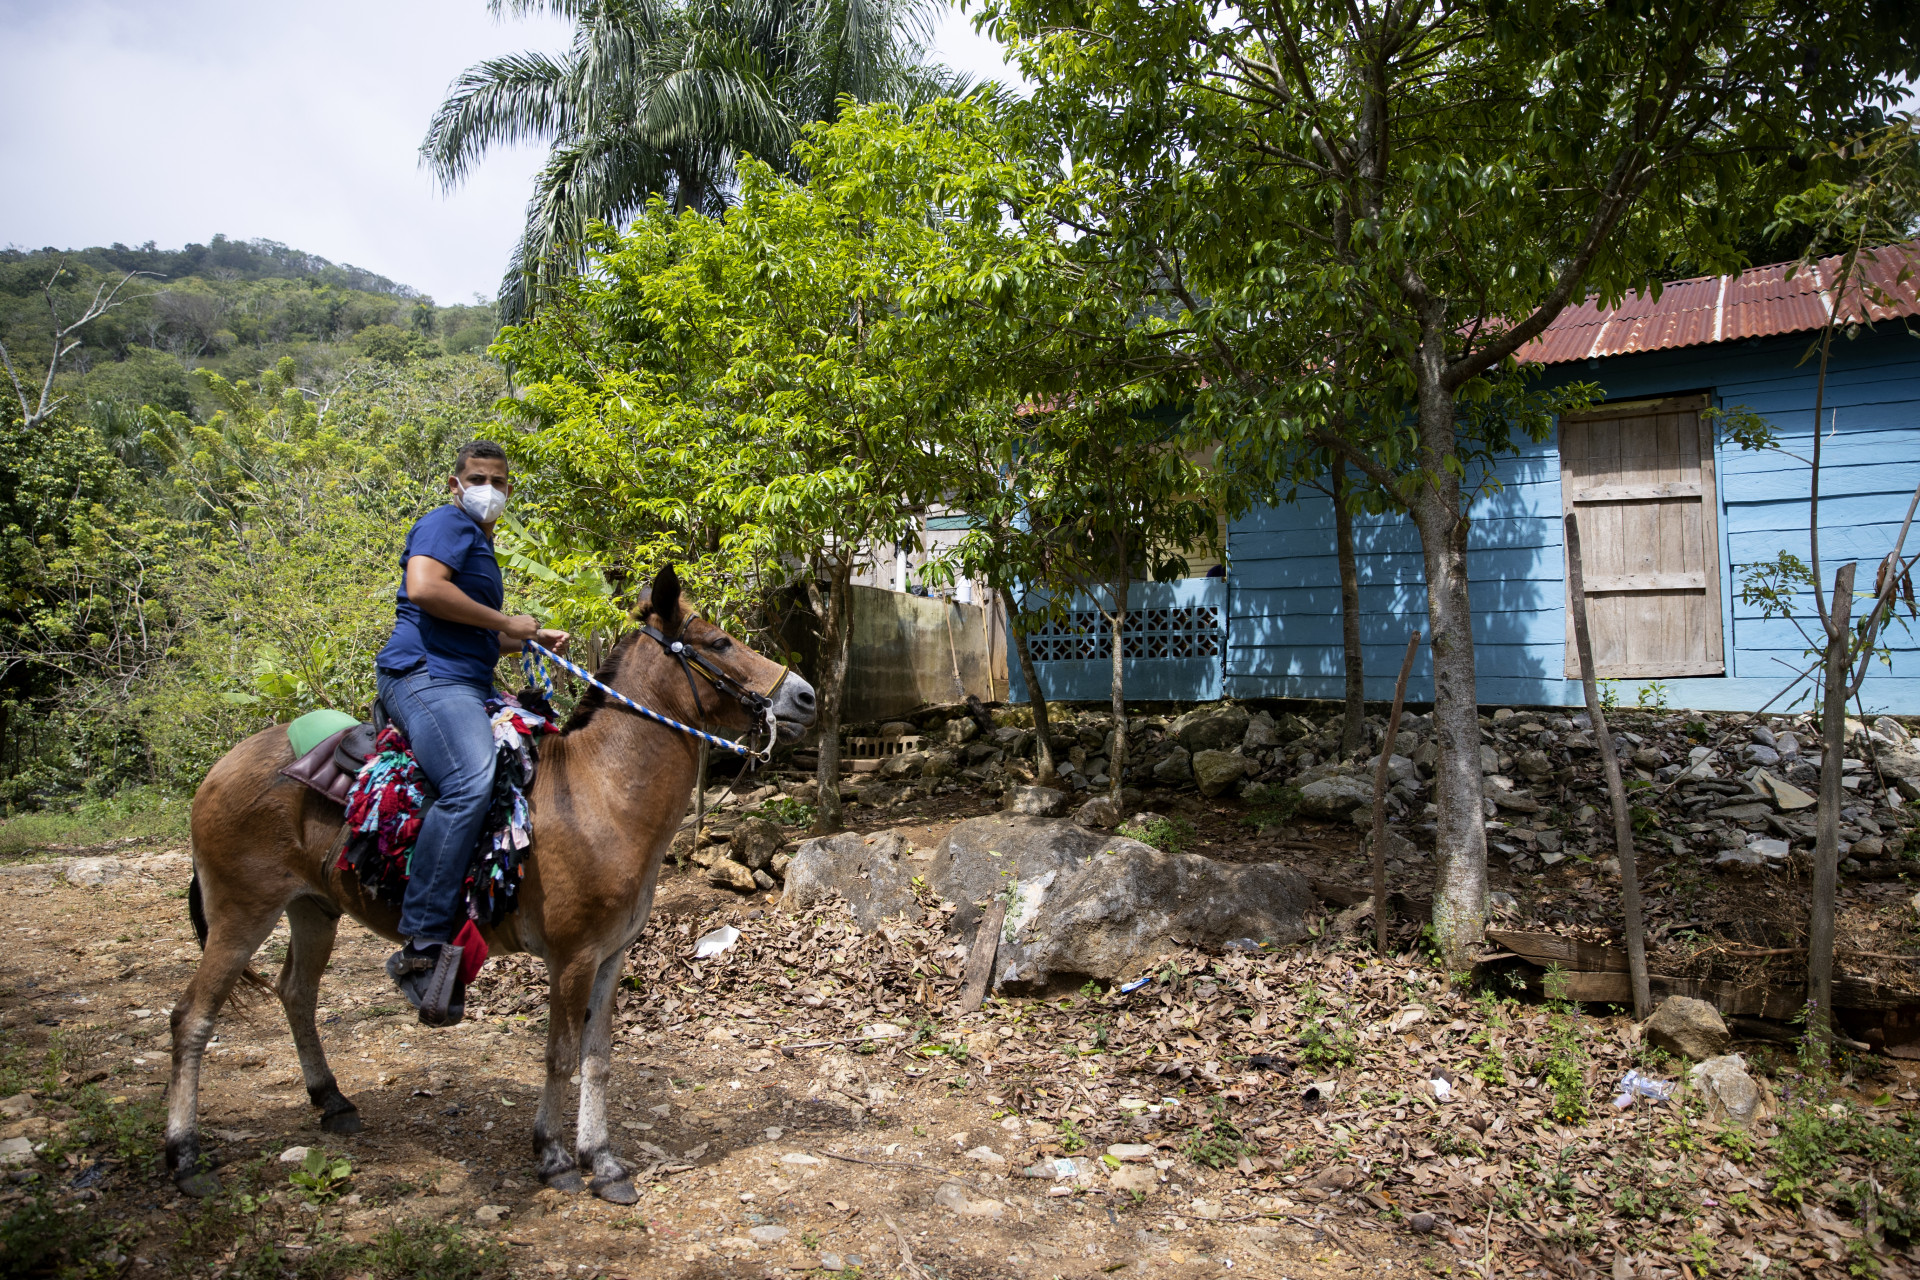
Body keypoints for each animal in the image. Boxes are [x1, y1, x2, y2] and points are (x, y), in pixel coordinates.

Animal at [166, 565, 816, 1204]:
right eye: (719, 642)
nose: (805, 695)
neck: (599, 790)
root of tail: (221, 769)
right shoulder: (572, 958)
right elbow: (559, 1056)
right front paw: (553, 1156)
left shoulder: (610, 957)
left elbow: (599, 1058)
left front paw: (602, 1161)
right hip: (242, 912)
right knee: (192, 1017)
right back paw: (184, 1154)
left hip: (312, 910)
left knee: (296, 994)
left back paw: (332, 1101)